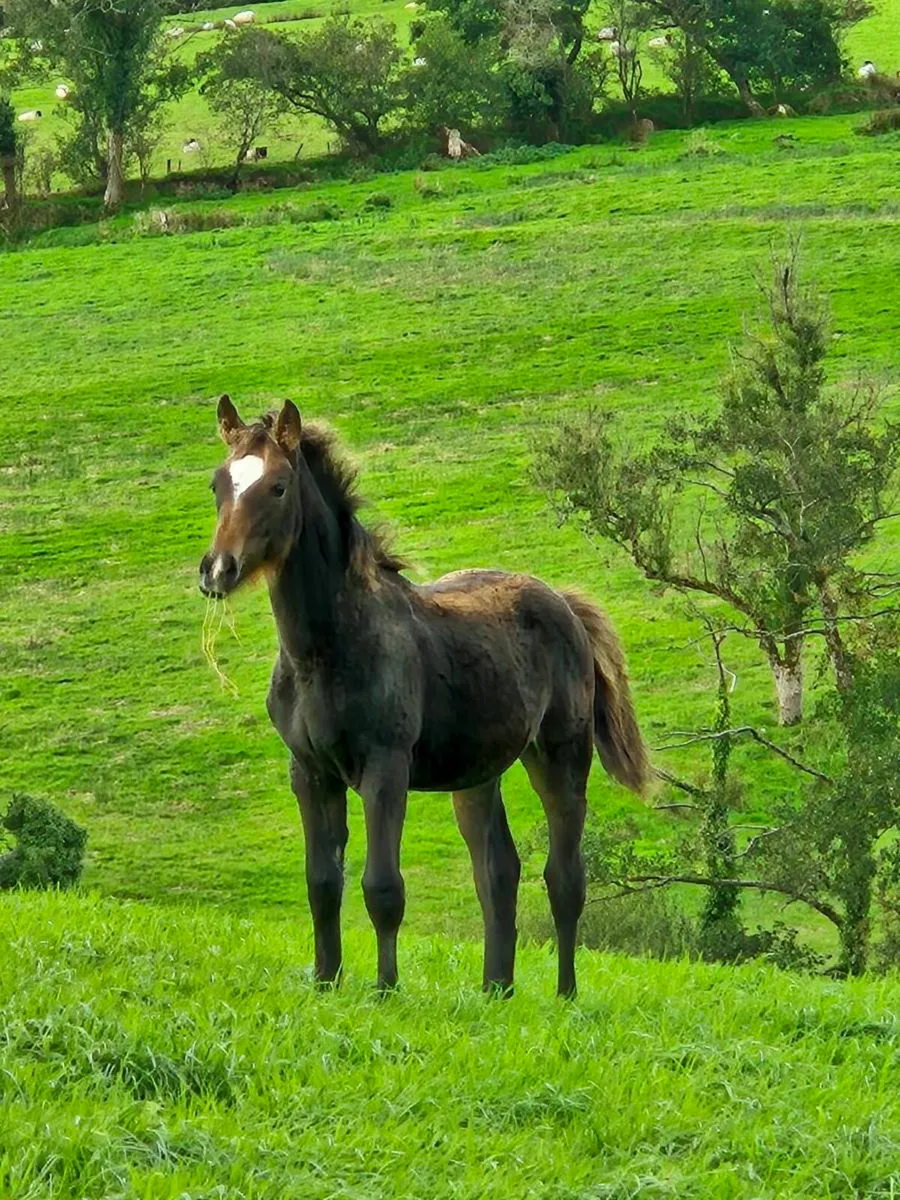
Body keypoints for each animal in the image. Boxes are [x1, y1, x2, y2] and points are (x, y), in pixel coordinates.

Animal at [199, 395, 651, 996]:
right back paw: (496, 990)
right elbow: (322, 883)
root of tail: (564, 603)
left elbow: (383, 887)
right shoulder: (309, 772)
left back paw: (565, 993)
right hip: (478, 774)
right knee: (497, 871)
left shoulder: (385, 769)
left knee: (564, 877)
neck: (325, 648)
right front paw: (326, 982)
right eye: (218, 483)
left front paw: (386, 989)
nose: (217, 570)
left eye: (277, 486)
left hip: (562, 756)